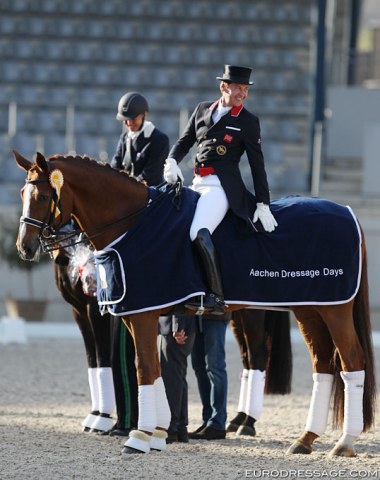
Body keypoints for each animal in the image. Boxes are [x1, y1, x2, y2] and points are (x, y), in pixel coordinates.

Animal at [13, 152, 376, 460]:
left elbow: (143, 368)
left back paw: (343, 442)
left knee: (350, 362)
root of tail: (348, 212)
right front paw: (157, 435)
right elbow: (151, 369)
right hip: (309, 308)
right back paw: (305, 439)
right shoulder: (130, 314)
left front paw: (138, 437)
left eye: (43, 197)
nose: (25, 247)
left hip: (332, 309)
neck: (132, 224)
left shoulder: (137, 316)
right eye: (21, 193)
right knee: (322, 365)